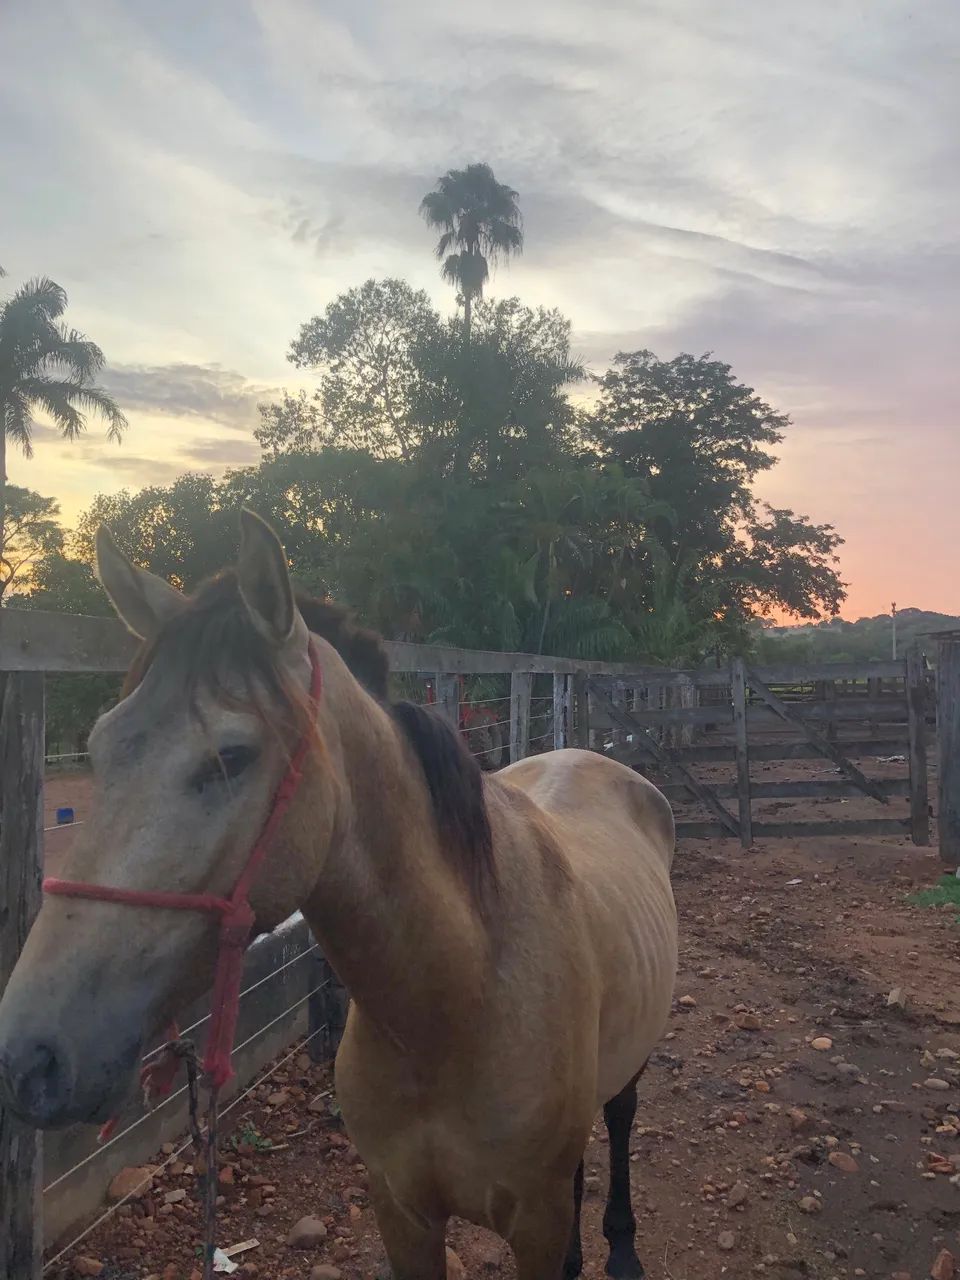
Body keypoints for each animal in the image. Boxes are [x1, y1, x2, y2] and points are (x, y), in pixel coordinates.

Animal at [0, 511, 678, 1280]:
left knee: (620, 1120)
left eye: (231, 756)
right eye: (100, 745)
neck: (458, 997)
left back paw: (620, 1247)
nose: (29, 1057)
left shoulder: (531, 1221)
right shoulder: (402, 1212)